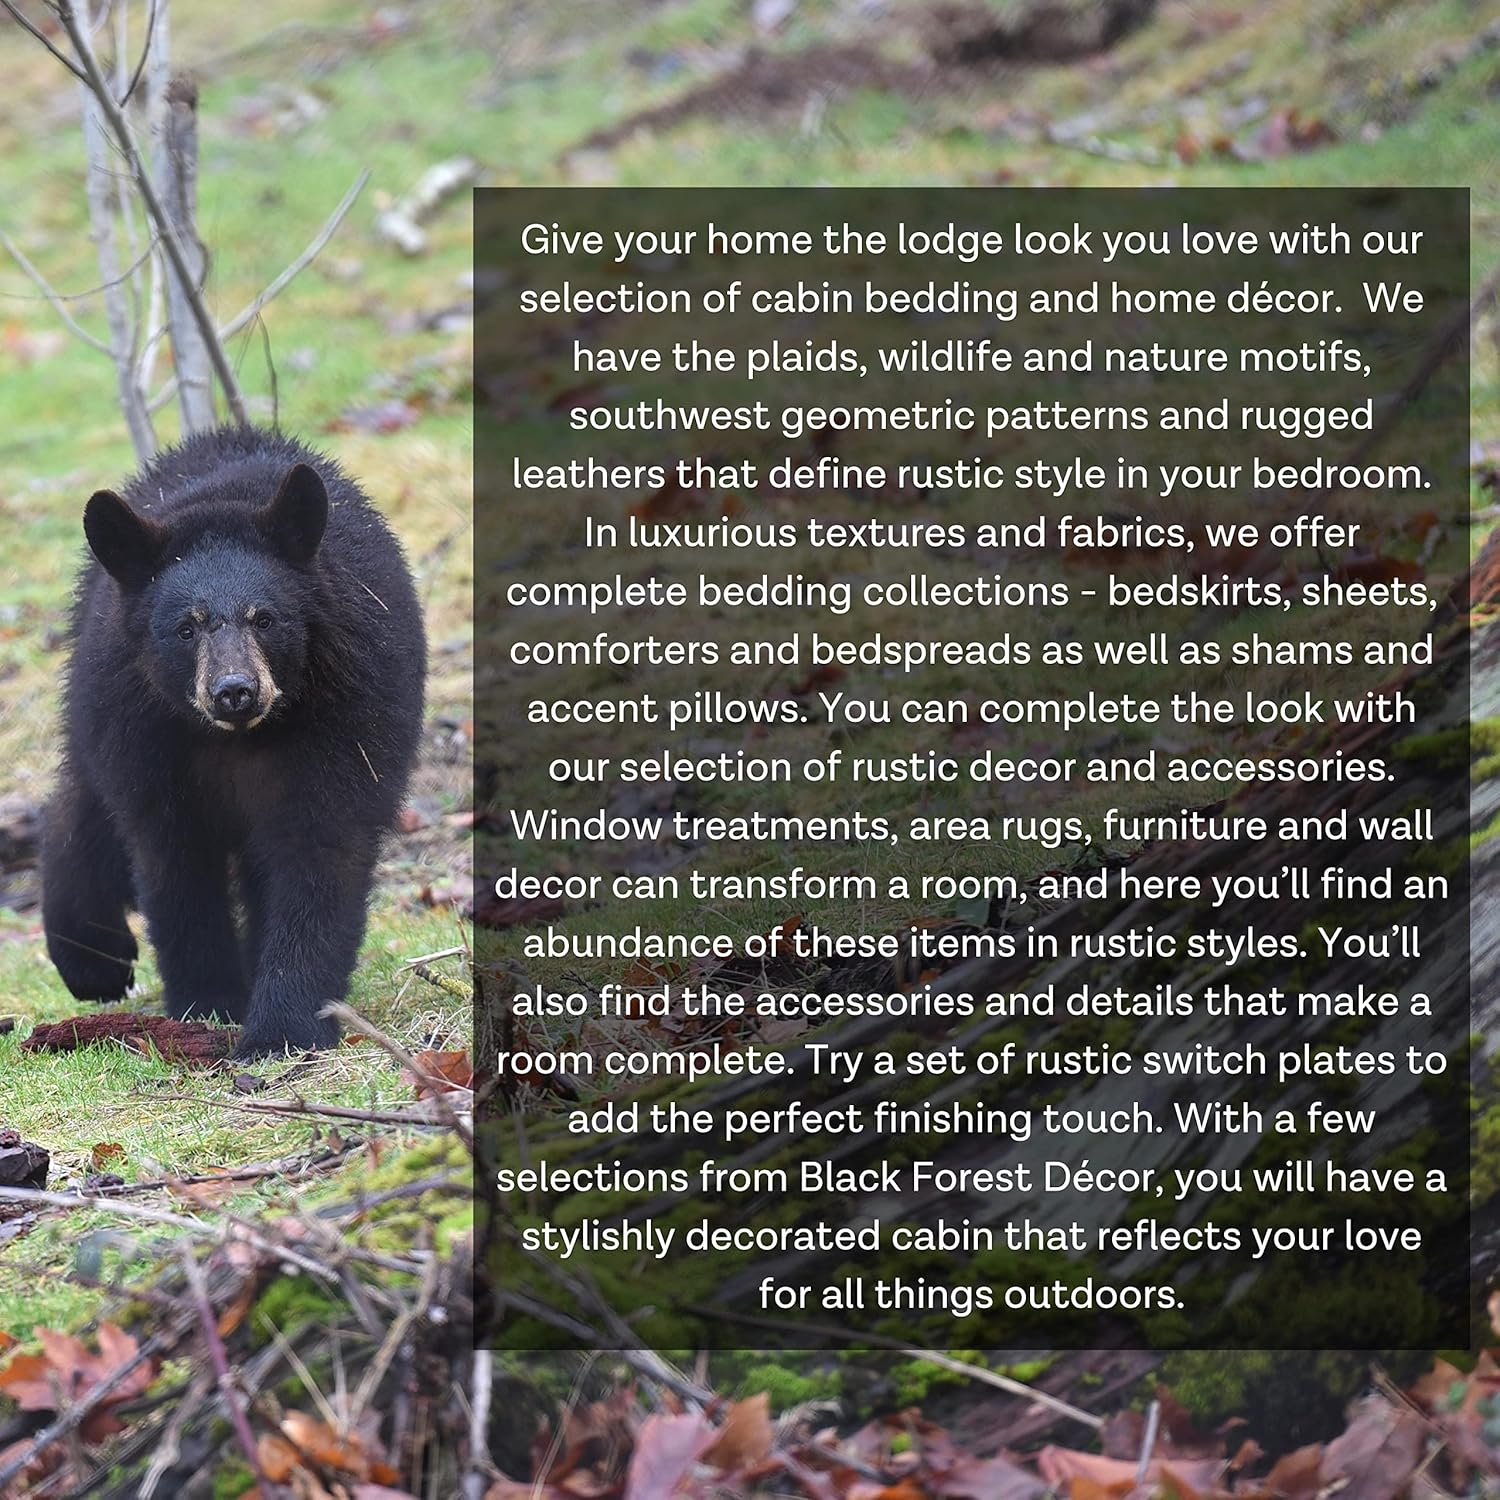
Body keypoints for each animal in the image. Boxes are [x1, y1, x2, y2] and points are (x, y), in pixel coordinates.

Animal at [41, 425, 426, 1056]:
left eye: (265, 618)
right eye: (185, 628)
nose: (234, 691)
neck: (239, 741)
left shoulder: (351, 712)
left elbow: (320, 850)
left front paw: (282, 1028)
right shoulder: (145, 732)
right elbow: (174, 863)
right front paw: (207, 1004)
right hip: (96, 687)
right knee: (84, 794)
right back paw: (92, 958)